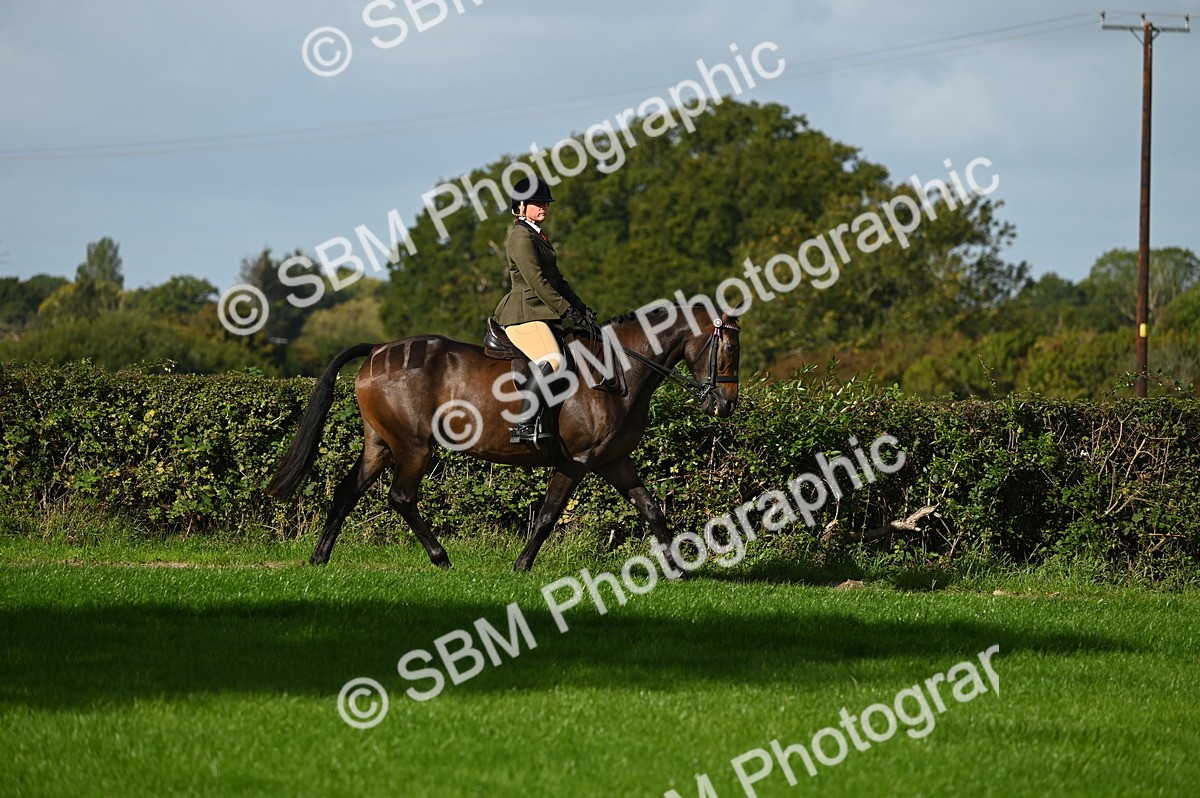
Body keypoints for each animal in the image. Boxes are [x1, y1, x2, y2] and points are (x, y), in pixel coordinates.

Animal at [266, 301, 741, 572]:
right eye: (730, 348)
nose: (725, 405)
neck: (616, 370)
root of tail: (379, 350)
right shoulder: (577, 462)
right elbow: (548, 516)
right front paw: (522, 565)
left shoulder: (613, 461)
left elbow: (652, 510)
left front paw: (679, 569)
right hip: (414, 447)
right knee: (400, 497)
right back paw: (441, 559)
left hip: (379, 445)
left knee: (347, 491)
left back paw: (319, 558)